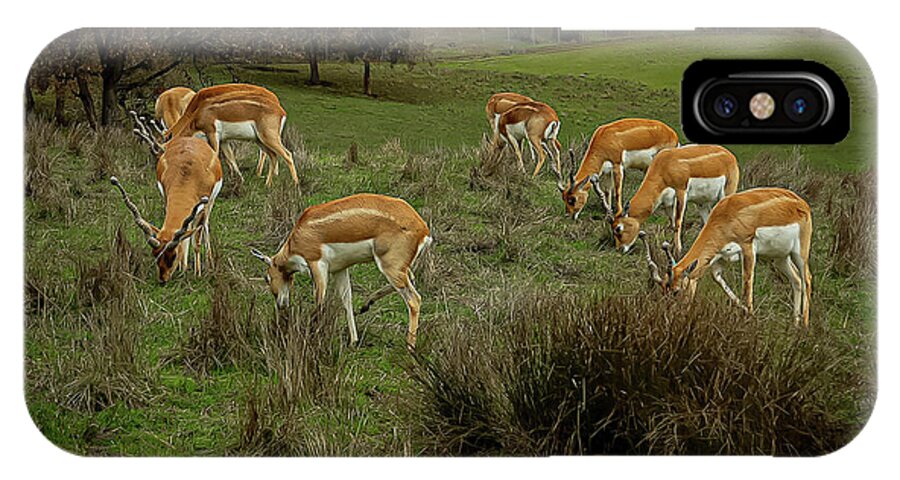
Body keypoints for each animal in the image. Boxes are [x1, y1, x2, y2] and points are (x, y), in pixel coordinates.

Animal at [111, 112, 223, 283]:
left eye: (173, 255)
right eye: (155, 254)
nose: (163, 279)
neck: (188, 175)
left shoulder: (203, 206)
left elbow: (196, 240)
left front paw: (197, 273)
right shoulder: (167, 198)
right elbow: (184, 235)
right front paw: (183, 268)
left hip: (210, 203)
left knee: (205, 226)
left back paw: (209, 261)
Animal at [165, 83, 295, 187]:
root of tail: (281, 111)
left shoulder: (213, 134)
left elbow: (215, 156)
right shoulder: (224, 140)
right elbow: (231, 158)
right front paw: (238, 179)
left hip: (268, 138)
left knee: (287, 154)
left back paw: (294, 184)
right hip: (260, 139)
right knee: (273, 155)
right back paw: (268, 182)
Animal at [250, 193, 433, 349]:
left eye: (267, 278)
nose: (281, 304)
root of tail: (423, 229)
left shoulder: (317, 265)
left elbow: (320, 301)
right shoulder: (340, 269)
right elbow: (346, 300)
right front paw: (353, 341)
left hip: (389, 266)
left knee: (414, 299)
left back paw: (410, 346)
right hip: (398, 268)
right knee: (411, 279)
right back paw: (366, 305)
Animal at [598, 144, 740, 256]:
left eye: (618, 228)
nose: (620, 249)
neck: (664, 165)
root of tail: (730, 156)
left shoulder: (681, 192)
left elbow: (678, 222)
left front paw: (678, 250)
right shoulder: (667, 203)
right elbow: (672, 223)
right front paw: (670, 247)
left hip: (726, 194)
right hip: (702, 203)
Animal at [640, 187, 812, 327]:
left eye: (676, 291)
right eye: (663, 290)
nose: (670, 316)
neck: (726, 215)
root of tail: (802, 203)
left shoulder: (748, 249)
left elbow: (747, 283)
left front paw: (749, 317)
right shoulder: (719, 257)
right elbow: (719, 280)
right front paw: (746, 312)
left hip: (799, 253)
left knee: (807, 279)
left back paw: (804, 326)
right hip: (780, 258)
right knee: (796, 280)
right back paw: (795, 323)